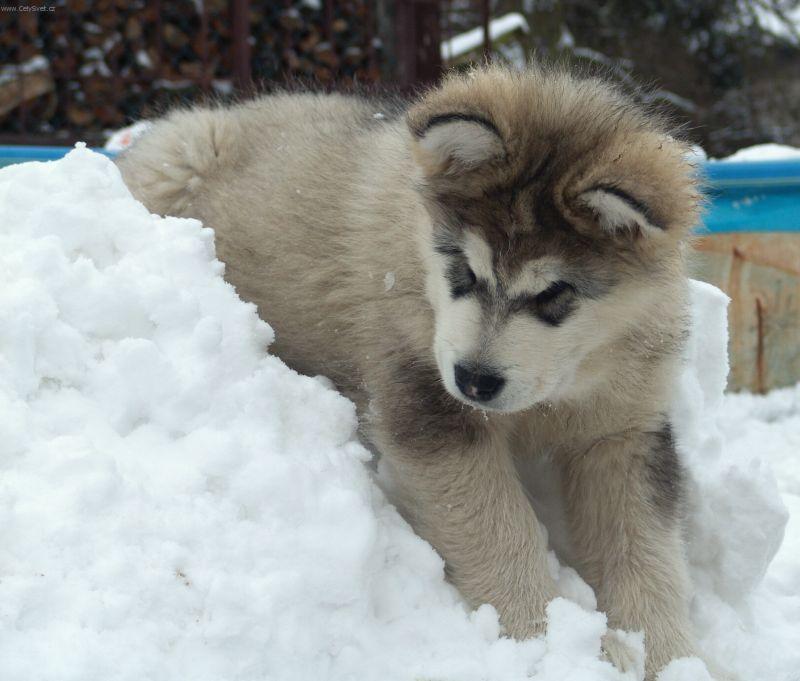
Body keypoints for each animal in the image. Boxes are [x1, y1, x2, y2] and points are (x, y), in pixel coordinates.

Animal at [117, 62, 720, 676]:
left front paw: (672, 658)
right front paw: (543, 639)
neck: (556, 387)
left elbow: (648, 552)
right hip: (179, 158)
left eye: (555, 294)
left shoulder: (623, 429)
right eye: (464, 269)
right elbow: (498, 527)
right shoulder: (428, 401)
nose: (474, 381)